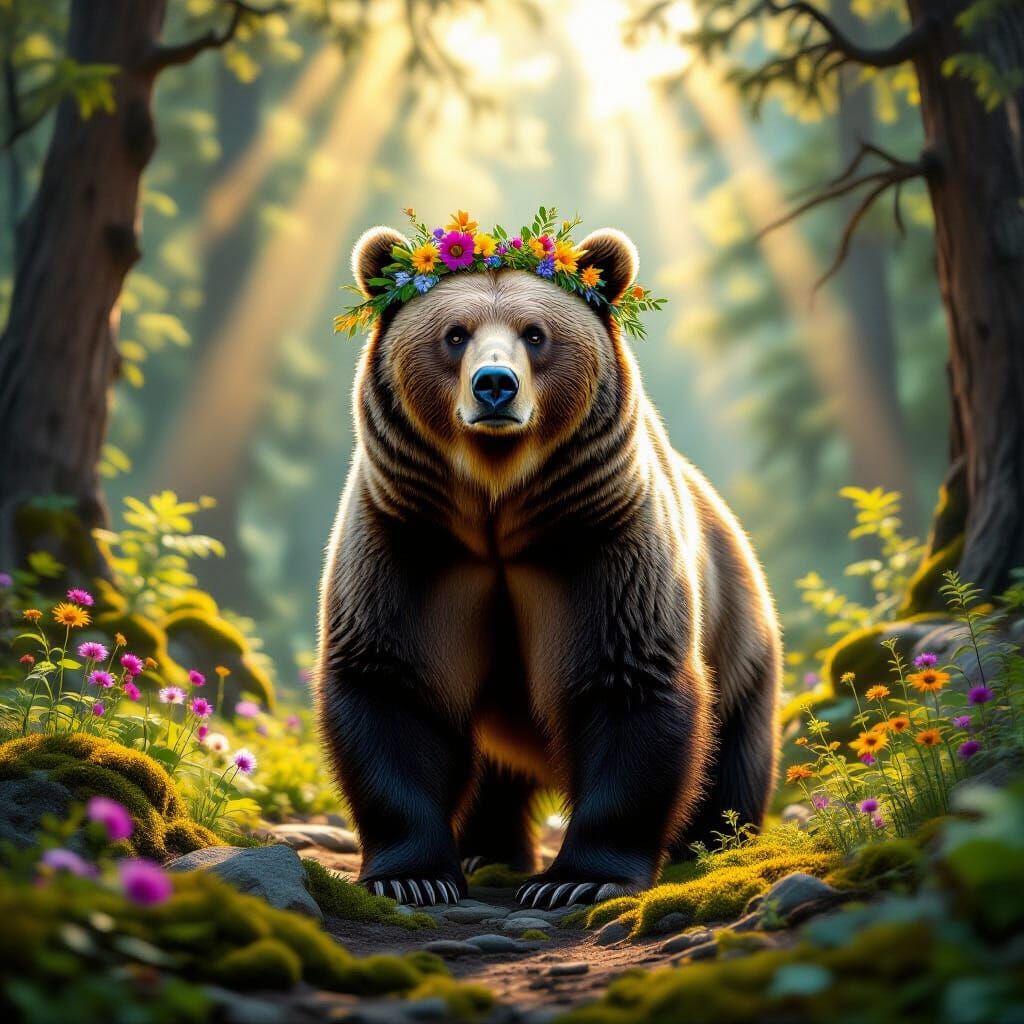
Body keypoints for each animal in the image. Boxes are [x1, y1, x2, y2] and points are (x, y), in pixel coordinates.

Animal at [315, 224, 782, 909]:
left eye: (535, 333)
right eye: (455, 333)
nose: (494, 384)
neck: (497, 508)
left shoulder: (600, 541)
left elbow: (627, 681)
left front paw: (577, 879)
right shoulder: (411, 542)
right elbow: (392, 683)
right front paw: (413, 875)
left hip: (742, 641)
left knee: (732, 756)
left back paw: (712, 846)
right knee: (495, 769)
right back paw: (485, 849)